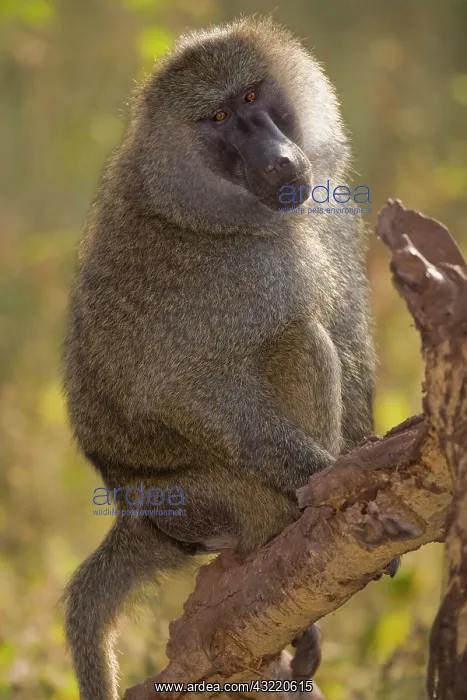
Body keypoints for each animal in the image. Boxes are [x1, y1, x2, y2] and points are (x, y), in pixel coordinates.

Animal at [62, 17, 398, 700]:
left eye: (251, 97)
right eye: (217, 117)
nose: (278, 158)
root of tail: (136, 512)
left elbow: (348, 331)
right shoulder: (223, 280)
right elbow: (182, 388)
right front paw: (328, 479)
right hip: (215, 499)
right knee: (299, 339)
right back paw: (285, 534)